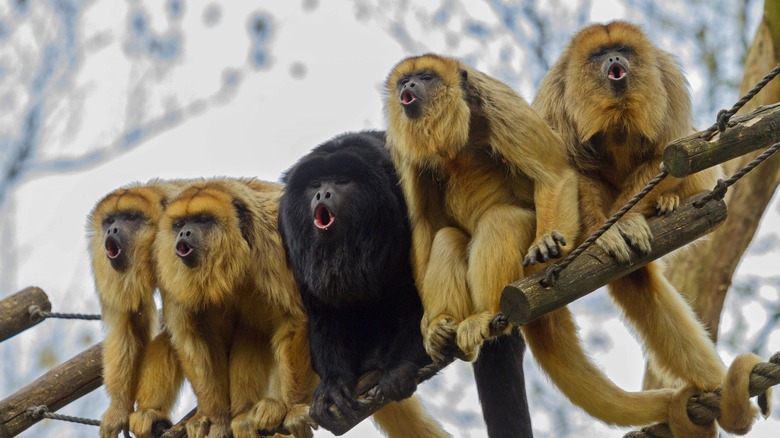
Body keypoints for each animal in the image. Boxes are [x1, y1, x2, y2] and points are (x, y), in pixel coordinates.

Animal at [88, 179, 186, 438]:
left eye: (131, 218)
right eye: (111, 220)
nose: (112, 230)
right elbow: (126, 325)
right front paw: (118, 409)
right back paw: (150, 414)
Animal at [278, 132, 450, 436]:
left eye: (342, 181)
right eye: (315, 185)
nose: (323, 194)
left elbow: (423, 295)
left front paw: (399, 367)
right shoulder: (290, 240)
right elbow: (321, 313)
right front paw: (333, 384)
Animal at [532, 19, 728, 394]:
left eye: (622, 50)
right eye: (600, 54)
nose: (614, 59)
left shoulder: (668, 77)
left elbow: (667, 151)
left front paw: (626, 222)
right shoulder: (555, 94)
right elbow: (569, 170)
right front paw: (603, 233)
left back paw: (666, 202)